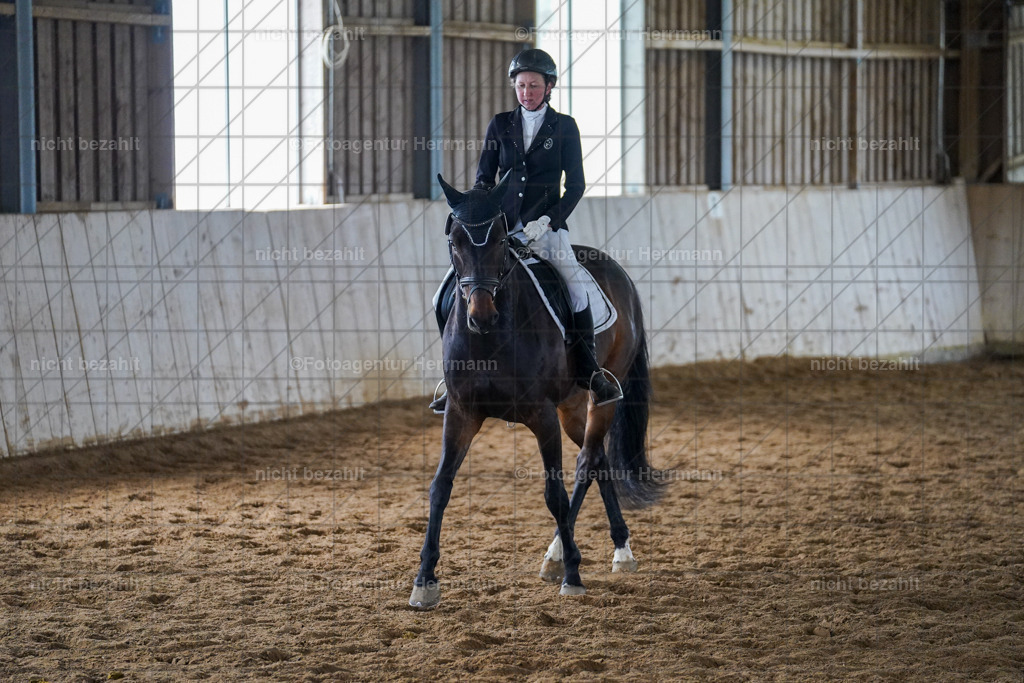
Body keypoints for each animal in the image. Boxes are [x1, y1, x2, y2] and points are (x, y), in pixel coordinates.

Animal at [409, 171, 663, 609]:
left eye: (499, 240)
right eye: (454, 241)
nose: (480, 316)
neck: (491, 338)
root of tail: (618, 272)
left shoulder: (541, 415)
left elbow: (553, 493)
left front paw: (574, 575)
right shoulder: (461, 411)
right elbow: (440, 486)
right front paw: (424, 580)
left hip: (599, 397)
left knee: (586, 462)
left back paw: (560, 556)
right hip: (571, 406)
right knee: (598, 459)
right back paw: (617, 549)